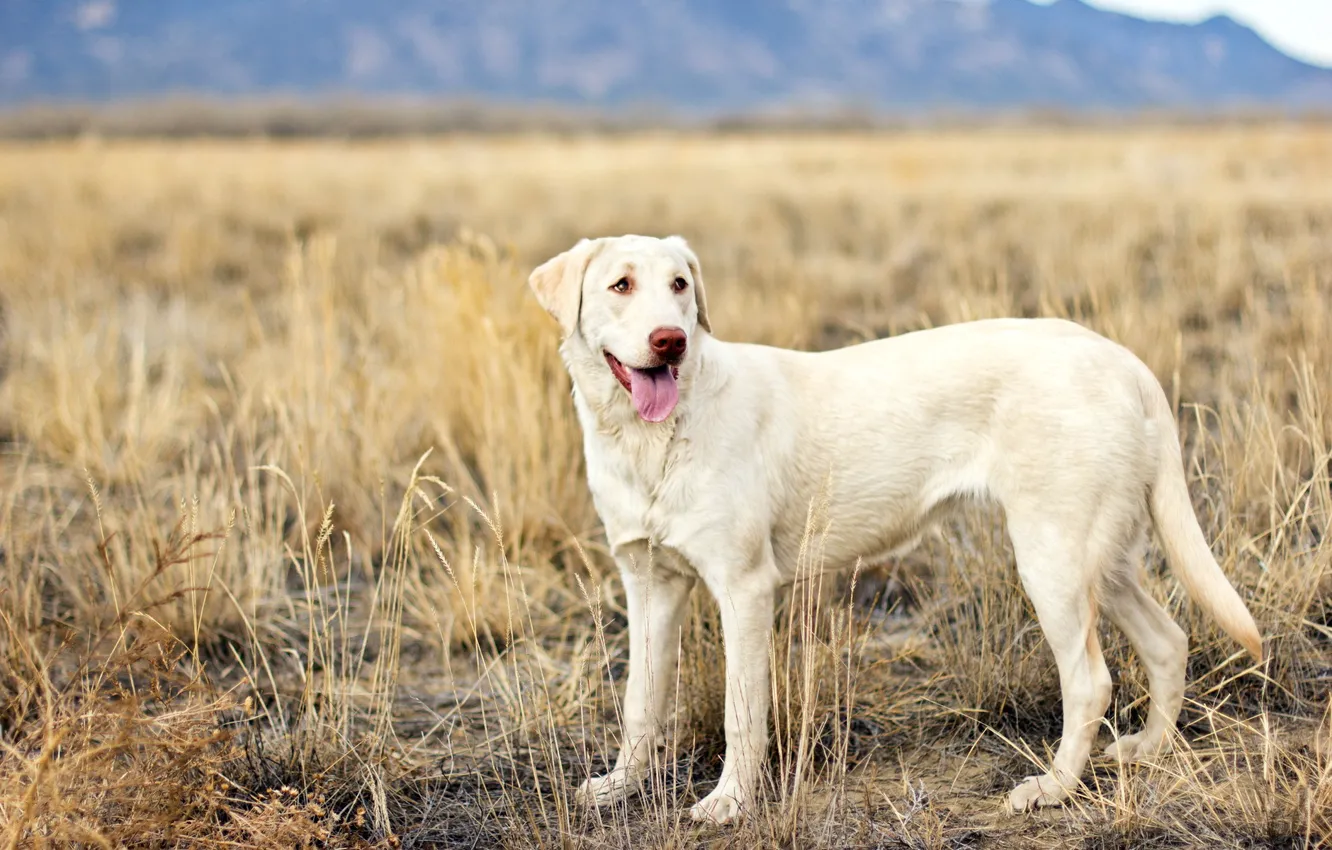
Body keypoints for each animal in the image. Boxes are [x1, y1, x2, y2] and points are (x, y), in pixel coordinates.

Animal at [527, 233, 1257, 826]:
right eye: (621, 285)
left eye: (680, 285)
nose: (670, 341)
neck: (651, 439)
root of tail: (1118, 357)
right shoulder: (649, 583)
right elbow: (639, 701)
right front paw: (620, 786)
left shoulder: (744, 589)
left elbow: (742, 712)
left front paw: (730, 802)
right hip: (1104, 558)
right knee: (1168, 641)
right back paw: (1147, 750)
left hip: (1053, 560)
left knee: (1090, 682)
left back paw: (1052, 789)